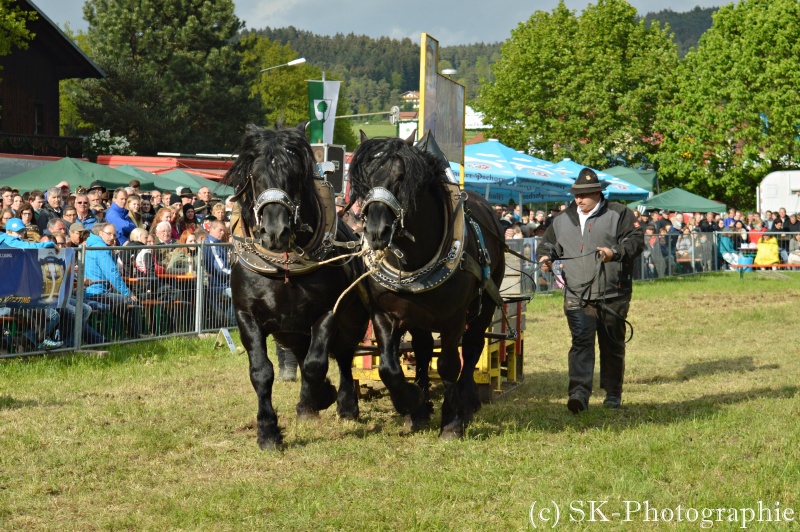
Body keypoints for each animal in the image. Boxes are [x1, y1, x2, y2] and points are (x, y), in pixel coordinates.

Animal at [225, 123, 368, 448]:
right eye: (255, 175)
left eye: (294, 175)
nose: (274, 231)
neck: (284, 265)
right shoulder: (247, 316)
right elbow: (262, 372)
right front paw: (268, 431)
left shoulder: (328, 312)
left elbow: (317, 365)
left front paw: (323, 396)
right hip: (290, 331)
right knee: (303, 356)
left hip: (351, 320)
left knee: (342, 356)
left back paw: (345, 405)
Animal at [346, 132, 504, 436]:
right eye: (364, 179)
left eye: (401, 176)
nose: (376, 232)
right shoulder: (384, 314)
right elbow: (388, 367)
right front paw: (412, 403)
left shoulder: (454, 318)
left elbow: (449, 364)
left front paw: (452, 422)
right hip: (418, 317)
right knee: (422, 349)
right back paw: (421, 407)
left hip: (486, 303)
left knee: (473, 346)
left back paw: (467, 401)